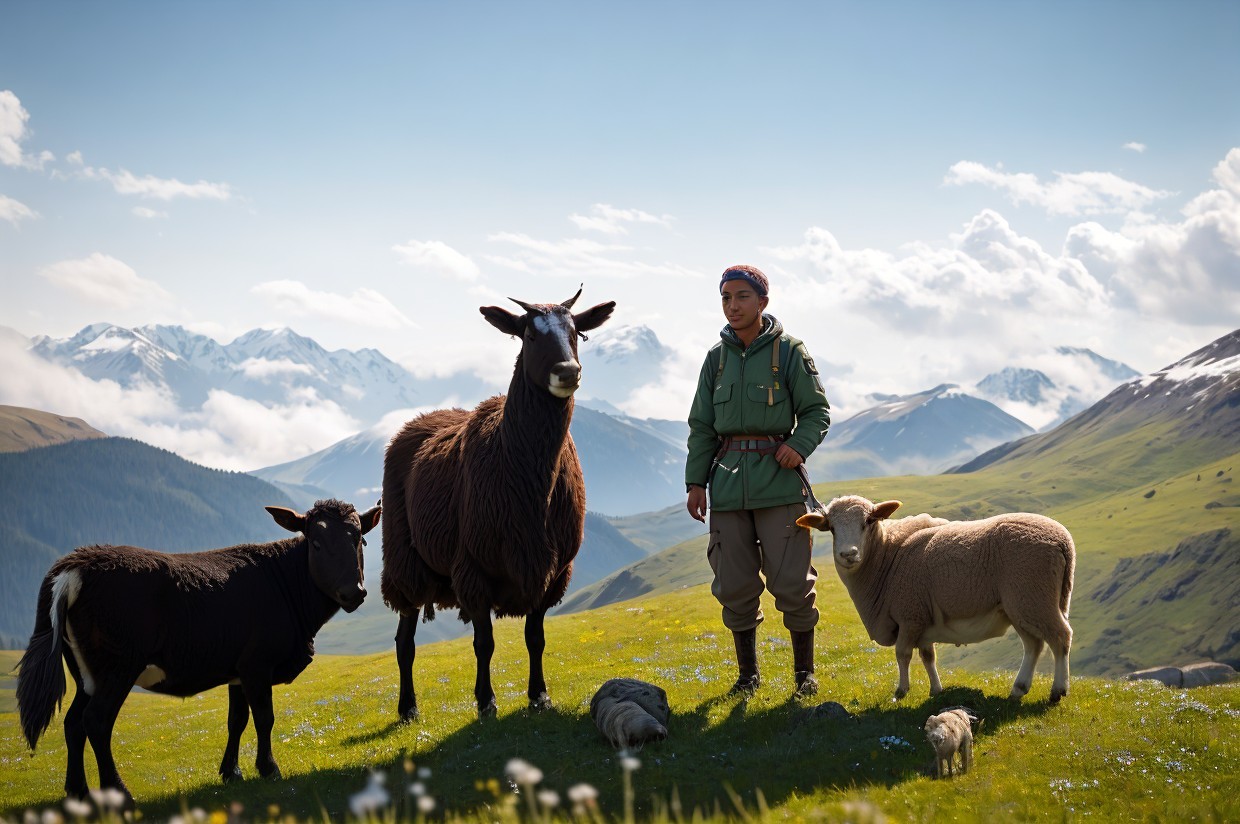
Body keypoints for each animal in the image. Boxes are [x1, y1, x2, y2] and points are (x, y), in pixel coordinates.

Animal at [381, 288, 615, 718]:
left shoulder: (553, 572)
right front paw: (486, 701)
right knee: (404, 641)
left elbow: (535, 637)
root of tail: (420, 419)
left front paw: (539, 694)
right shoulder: (473, 568)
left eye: (576, 333)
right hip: (406, 559)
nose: (568, 372)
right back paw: (408, 708)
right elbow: (484, 644)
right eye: (530, 336)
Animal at [797, 495, 1074, 702]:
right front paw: (936, 690)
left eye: (868, 521)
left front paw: (901, 690)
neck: (886, 556)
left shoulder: (909, 614)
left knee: (1060, 637)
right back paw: (1019, 688)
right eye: (832, 528)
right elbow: (928, 656)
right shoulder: (922, 616)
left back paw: (1058, 690)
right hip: (1020, 605)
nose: (848, 554)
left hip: (1033, 598)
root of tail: (1063, 541)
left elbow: (903, 654)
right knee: (1034, 644)